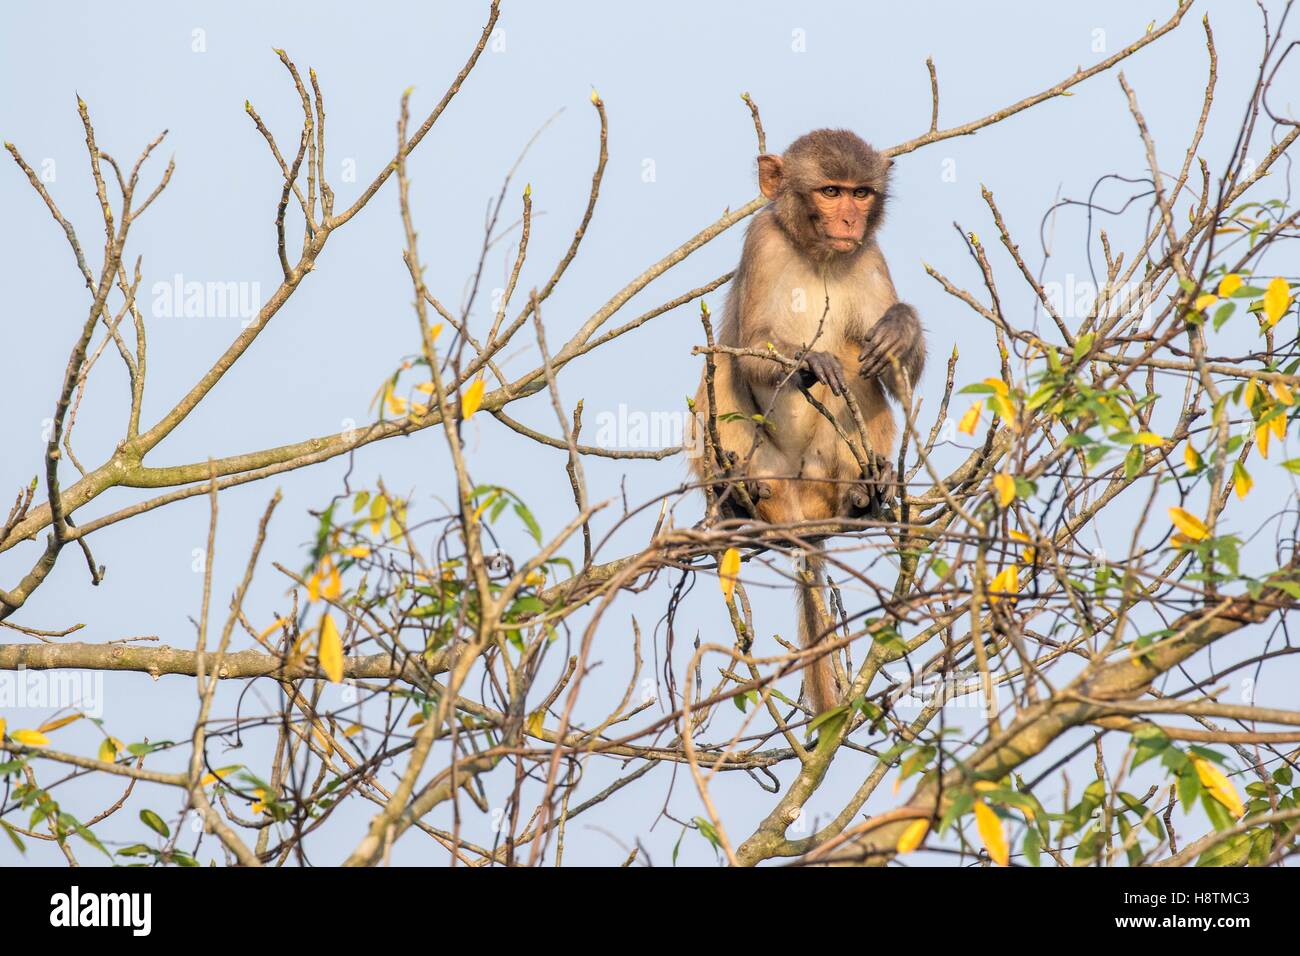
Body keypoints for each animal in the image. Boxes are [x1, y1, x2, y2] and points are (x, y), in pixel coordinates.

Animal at [691, 129, 925, 715]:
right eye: (830, 190)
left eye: (861, 193)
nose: (848, 221)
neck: (818, 256)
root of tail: (800, 511)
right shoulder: (763, 242)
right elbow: (750, 347)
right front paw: (806, 361)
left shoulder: (870, 257)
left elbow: (897, 373)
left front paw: (902, 328)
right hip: (770, 473)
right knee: (718, 368)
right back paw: (733, 495)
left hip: (822, 476)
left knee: (857, 367)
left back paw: (866, 491)